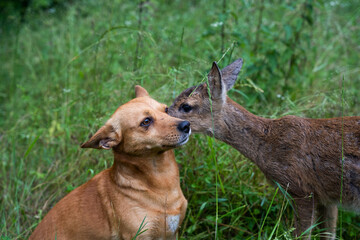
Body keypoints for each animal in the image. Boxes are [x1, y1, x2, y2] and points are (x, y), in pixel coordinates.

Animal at [169, 58, 360, 240]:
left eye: (186, 106)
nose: (165, 113)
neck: (268, 144)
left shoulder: (302, 190)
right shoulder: (328, 198)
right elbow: (329, 234)